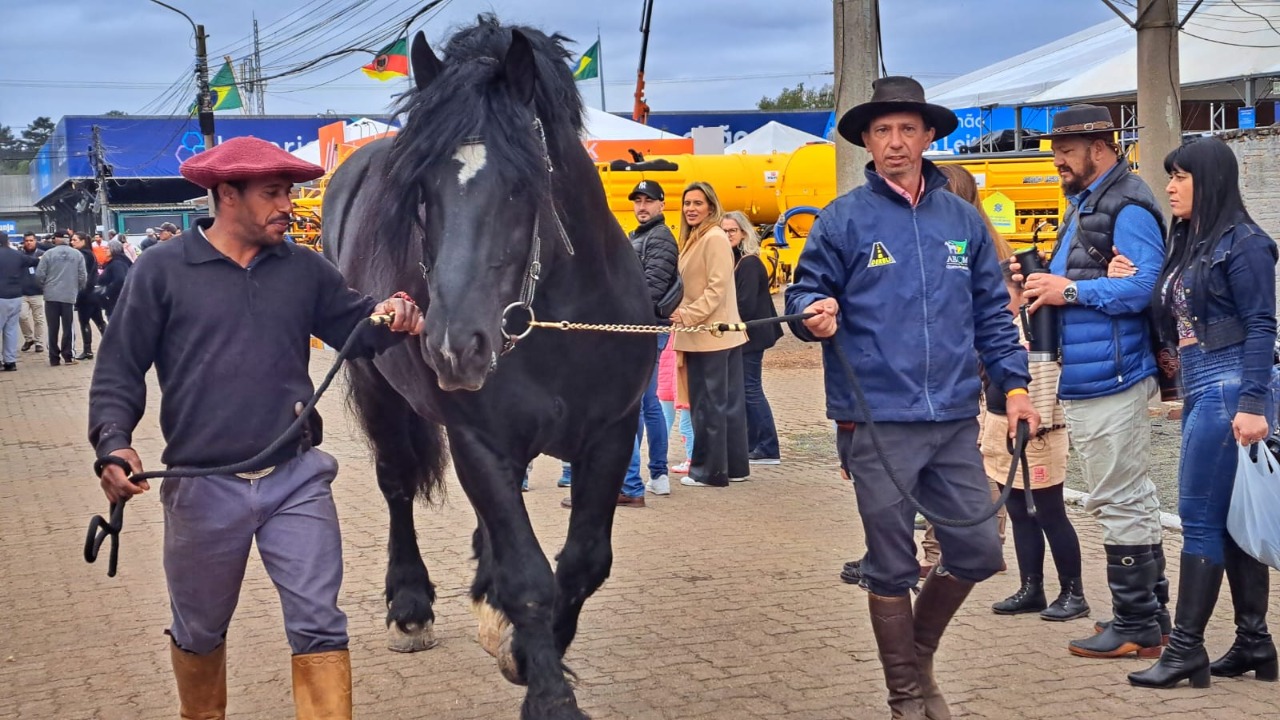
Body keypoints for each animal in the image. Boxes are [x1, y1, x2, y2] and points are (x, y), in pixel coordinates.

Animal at [320, 14, 655, 712]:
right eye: (419, 189)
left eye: (524, 184)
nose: (455, 345)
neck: (557, 324)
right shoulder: (478, 440)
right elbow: (529, 576)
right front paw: (546, 690)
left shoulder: (613, 433)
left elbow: (583, 562)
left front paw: (523, 649)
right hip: (377, 389)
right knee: (397, 484)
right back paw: (410, 606)